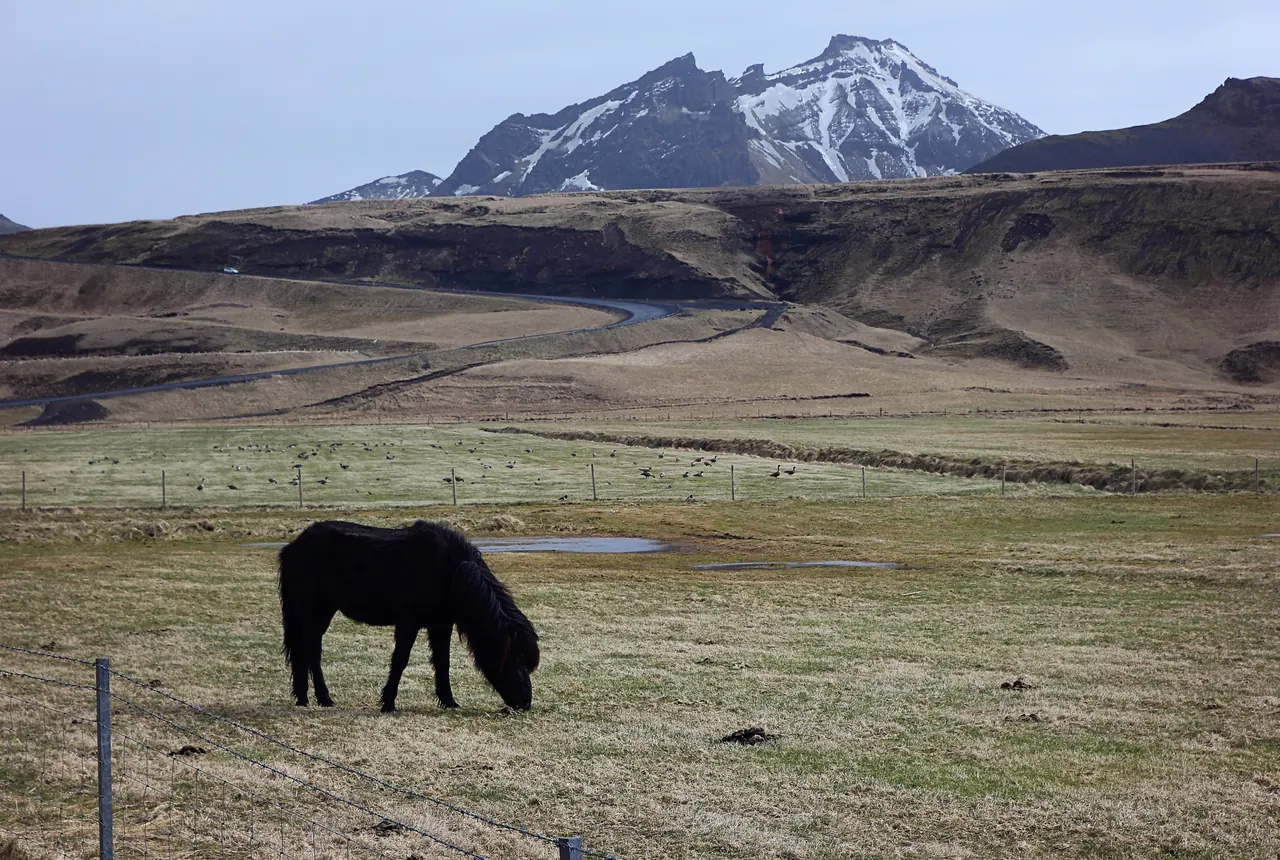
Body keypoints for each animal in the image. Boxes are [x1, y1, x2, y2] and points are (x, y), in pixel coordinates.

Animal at [277, 520, 540, 712]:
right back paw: (316, 698)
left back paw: (314, 698)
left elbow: (442, 662)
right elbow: (400, 660)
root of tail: (293, 547)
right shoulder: (409, 623)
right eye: (516, 657)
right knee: (308, 651)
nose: (525, 703)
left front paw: (449, 701)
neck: (450, 570)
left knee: (309, 651)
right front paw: (388, 703)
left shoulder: (440, 625)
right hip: (312, 611)